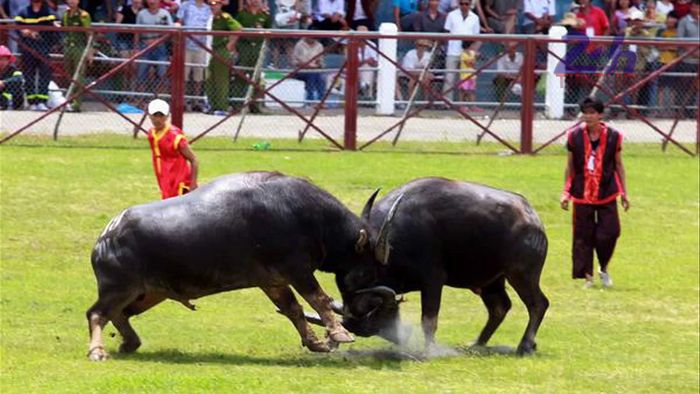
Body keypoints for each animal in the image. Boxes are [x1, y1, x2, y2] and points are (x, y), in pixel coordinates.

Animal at [86, 171, 400, 362]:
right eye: (369, 270)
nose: (360, 314)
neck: (309, 217)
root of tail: (106, 236)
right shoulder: (297, 271)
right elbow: (318, 298)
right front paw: (339, 334)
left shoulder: (273, 281)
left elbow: (293, 310)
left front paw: (316, 343)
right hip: (120, 289)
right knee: (97, 314)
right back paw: (98, 351)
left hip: (147, 294)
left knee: (119, 314)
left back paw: (130, 343)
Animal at [342, 177, 548, 356]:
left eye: (368, 276)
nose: (352, 324)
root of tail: (534, 220)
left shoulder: (433, 280)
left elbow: (429, 320)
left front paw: (429, 351)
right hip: (492, 281)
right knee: (499, 307)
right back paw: (476, 343)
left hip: (521, 275)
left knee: (538, 304)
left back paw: (525, 345)